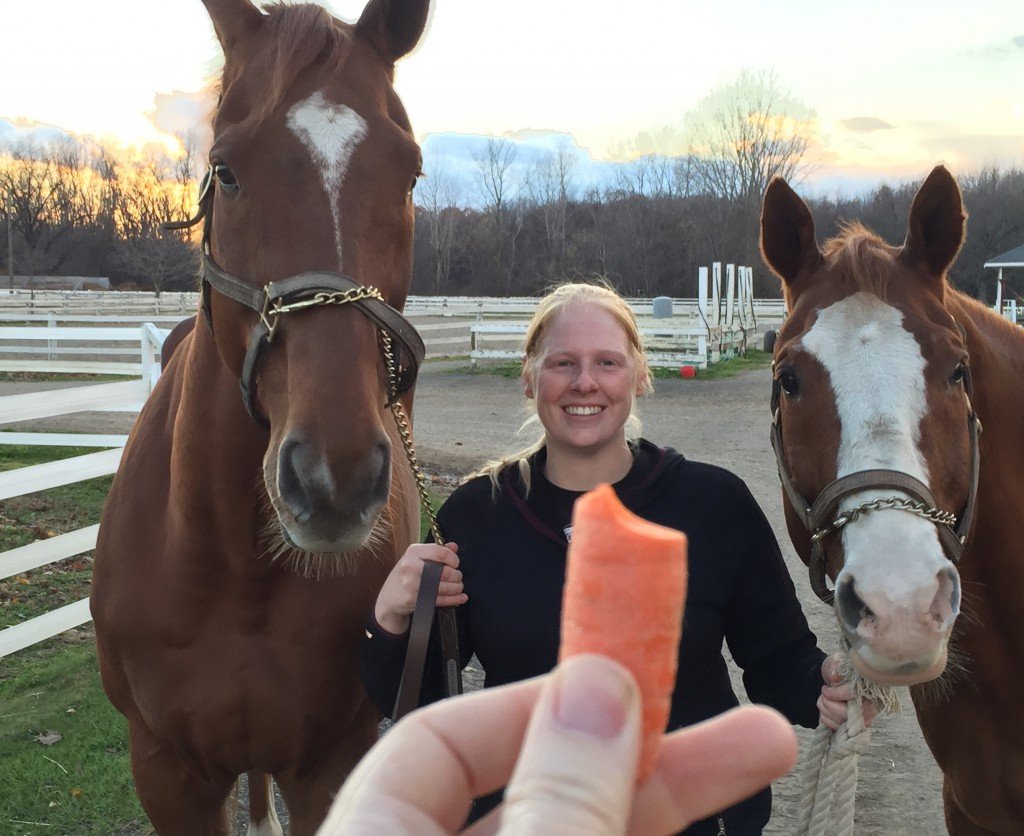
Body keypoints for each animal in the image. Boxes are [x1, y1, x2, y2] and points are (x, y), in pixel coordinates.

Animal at [91, 3, 432, 831]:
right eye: (226, 170)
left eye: (410, 173)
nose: (334, 480)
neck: (232, 568)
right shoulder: (167, 772)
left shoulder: (330, 766)